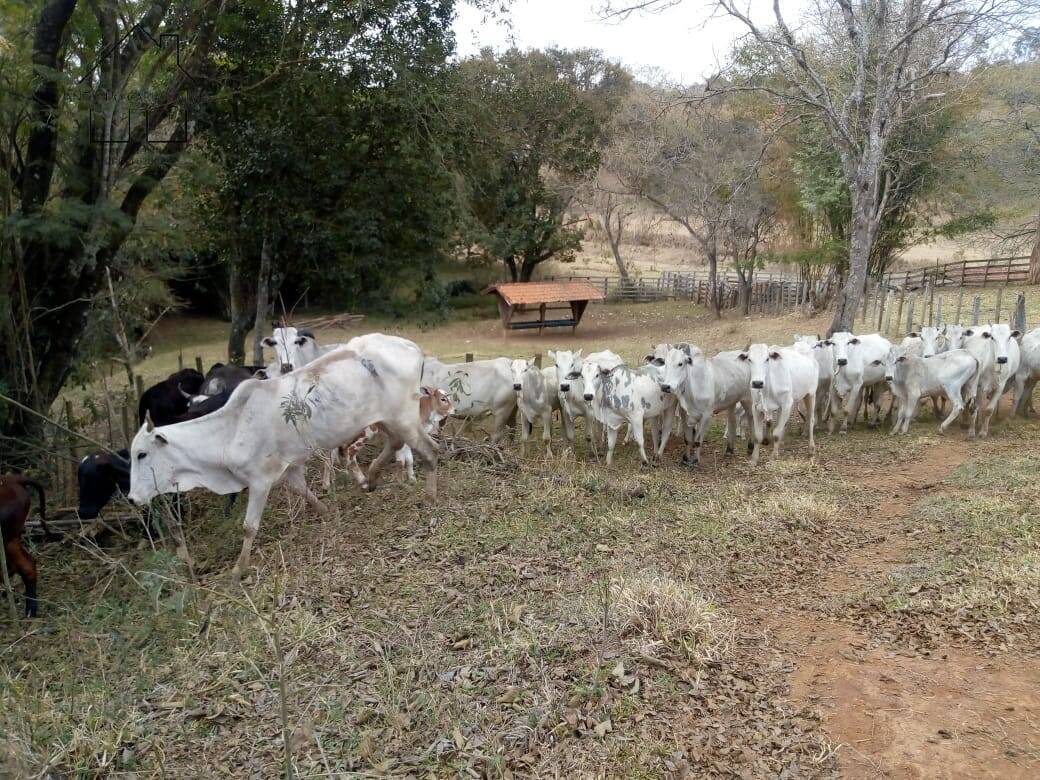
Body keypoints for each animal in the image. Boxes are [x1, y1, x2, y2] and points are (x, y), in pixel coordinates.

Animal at [127, 332, 436, 578]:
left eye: (141, 454)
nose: (132, 498)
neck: (231, 429)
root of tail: (412, 346)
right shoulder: (289, 469)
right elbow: (306, 493)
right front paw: (328, 512)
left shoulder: (260, 481)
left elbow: (249, 527)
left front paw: (238, 569)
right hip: (385, 420)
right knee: (396, 444)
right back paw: (370, 478)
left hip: (402, 417)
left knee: (430, 450)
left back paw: (431, 493)